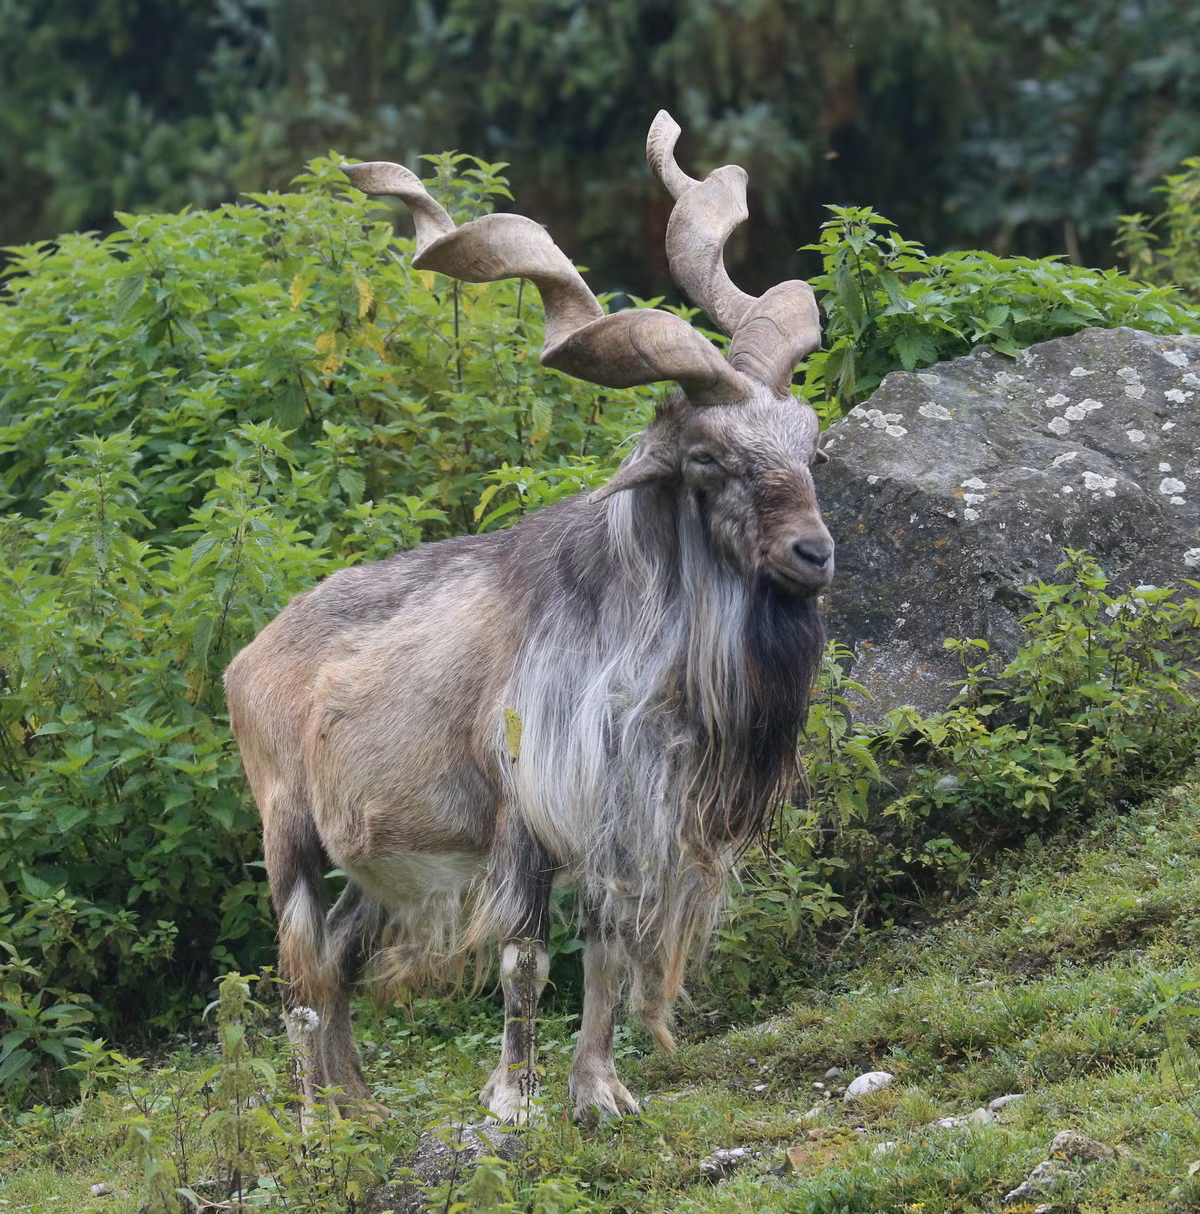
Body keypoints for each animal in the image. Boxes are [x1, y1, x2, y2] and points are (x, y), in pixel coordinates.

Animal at [224, 112, 834, 1125]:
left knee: (342, 953)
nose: (813, 553)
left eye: (808, 443)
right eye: (708, 459)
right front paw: (512, 1103)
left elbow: (608, 955)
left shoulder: (620, 825)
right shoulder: (523, 817)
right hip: (288, 832)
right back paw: (316, 1120)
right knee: (301, 972)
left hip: (385, 859)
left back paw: (360, 1107)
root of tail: (247, 659)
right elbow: (526, 961)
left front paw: (601, 1093)